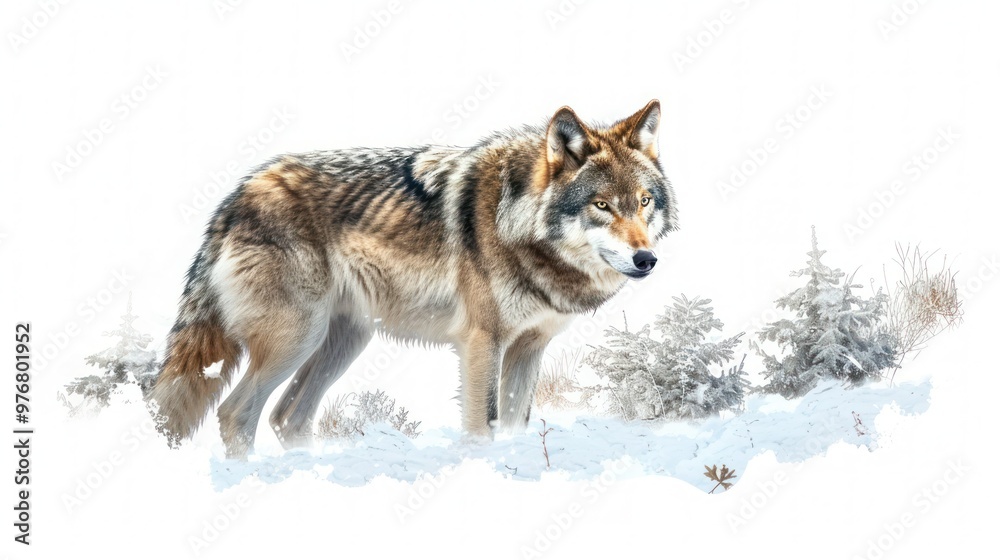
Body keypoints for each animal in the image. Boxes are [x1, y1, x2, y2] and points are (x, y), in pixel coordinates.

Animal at [149, 100, 677, 458]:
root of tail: (236, 194)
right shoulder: (483, 342)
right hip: (297, 339)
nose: (646, 259)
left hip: (343, 341)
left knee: (286, 418)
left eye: (644, 201)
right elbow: (483, 426)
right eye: (601, 205)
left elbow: (515, 425)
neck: (519, 223)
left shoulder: (530, 346)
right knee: (236, 413)